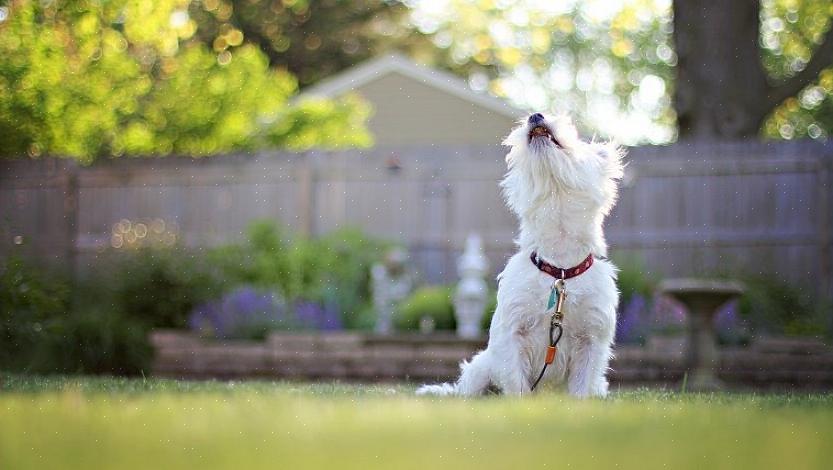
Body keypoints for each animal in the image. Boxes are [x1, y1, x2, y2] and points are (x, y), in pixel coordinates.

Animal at [420, 113, 620, 396]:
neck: (559, 269)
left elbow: (581, 388)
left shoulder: (591, 338)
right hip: (480, 369)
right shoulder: (513, 333)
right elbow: (516, 383)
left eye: (574, 134)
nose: (536, 115)